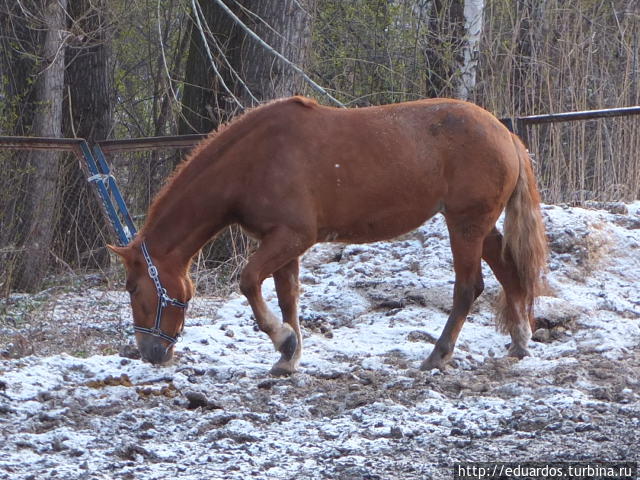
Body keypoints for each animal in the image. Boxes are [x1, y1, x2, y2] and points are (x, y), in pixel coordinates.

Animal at [109, 96, 544, 376]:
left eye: (133, 288)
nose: (149, 353)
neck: (253, 160)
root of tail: (505, 135)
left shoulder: (292, 237)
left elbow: (249, 282)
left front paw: (283, 340)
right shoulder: (283, 244)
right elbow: (287, 296)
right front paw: (289, 355)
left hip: (465, 225)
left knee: (469, 288)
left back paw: (438, 356)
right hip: (477, 226)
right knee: (509, 270)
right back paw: (520, 340)